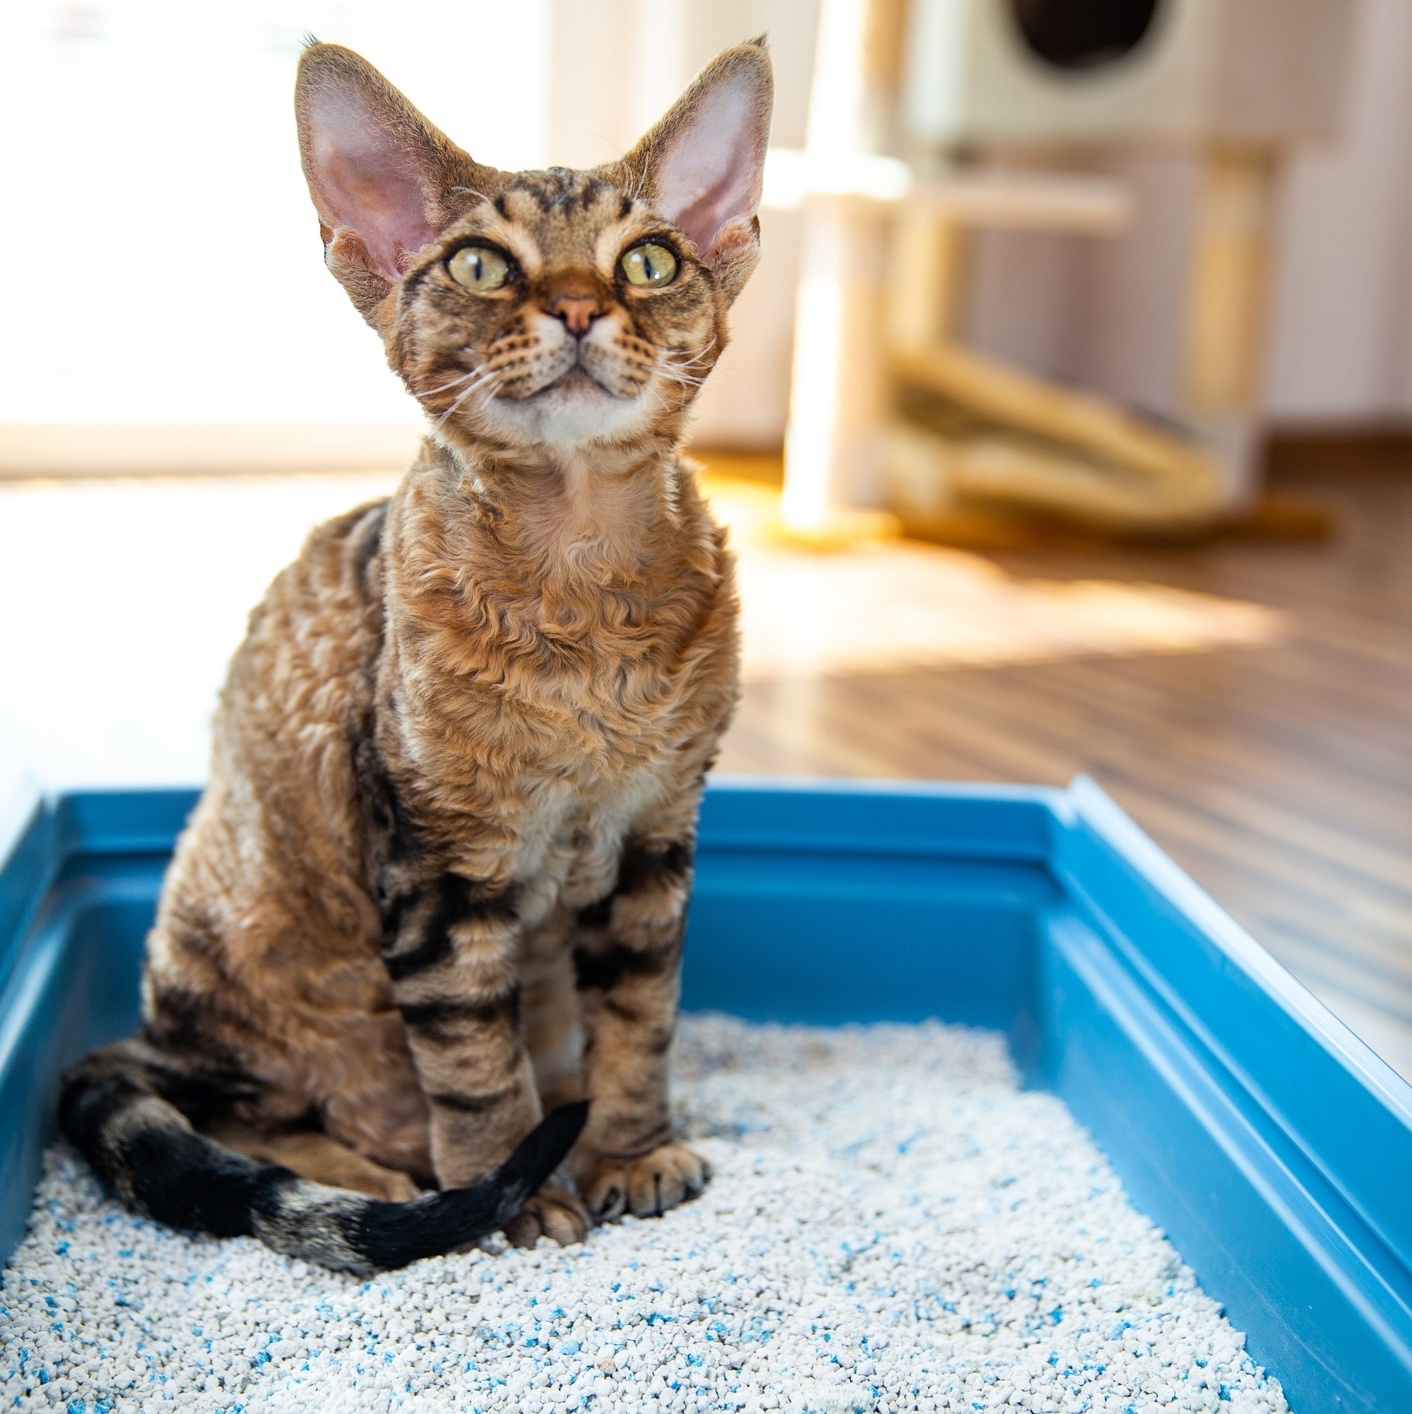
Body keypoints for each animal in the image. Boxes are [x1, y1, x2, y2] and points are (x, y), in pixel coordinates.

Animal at [55, 35, 774, 1272]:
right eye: (482, 266)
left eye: (648, 259)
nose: (577, 306)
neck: (584, 599)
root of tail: (145, 1031)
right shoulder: (435, 864)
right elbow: (475, 1064)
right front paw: (507, 1193)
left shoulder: (654, 837)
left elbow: (641, 1020)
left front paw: (629, 1149)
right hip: (257, 959)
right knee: (242, 1115)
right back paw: (380, 1173)